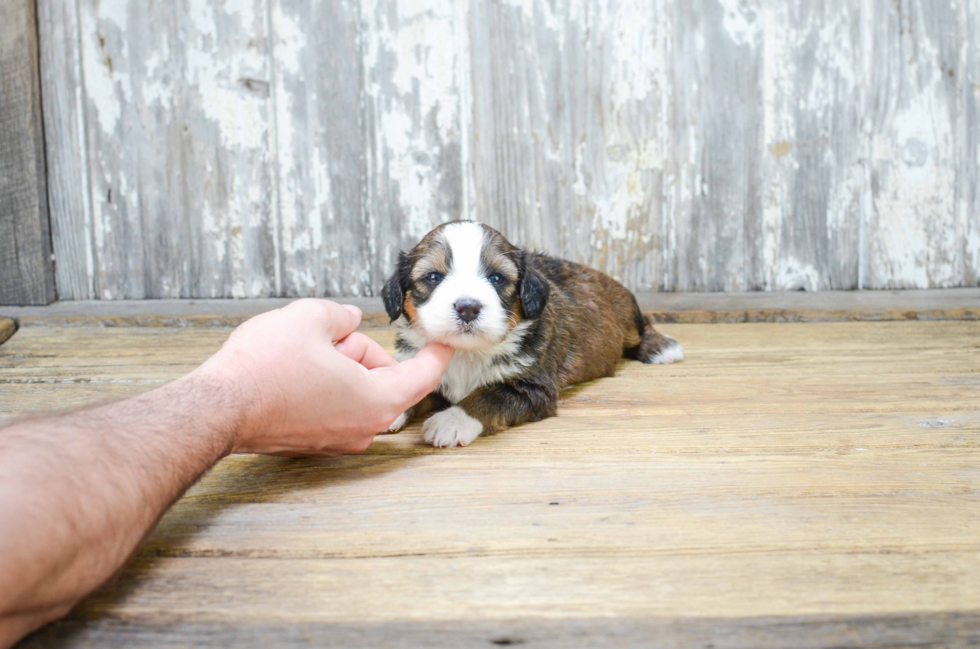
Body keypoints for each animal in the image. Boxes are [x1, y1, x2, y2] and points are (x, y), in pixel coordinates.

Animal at [378, 220, 684, 448]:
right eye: (433, 277)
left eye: (497, 278)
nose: (467, 308)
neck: (468, 353)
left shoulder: (533, 387)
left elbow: (489, 396)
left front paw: (452, 420)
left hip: (626, 309)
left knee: (642, 328)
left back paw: (660, 347)